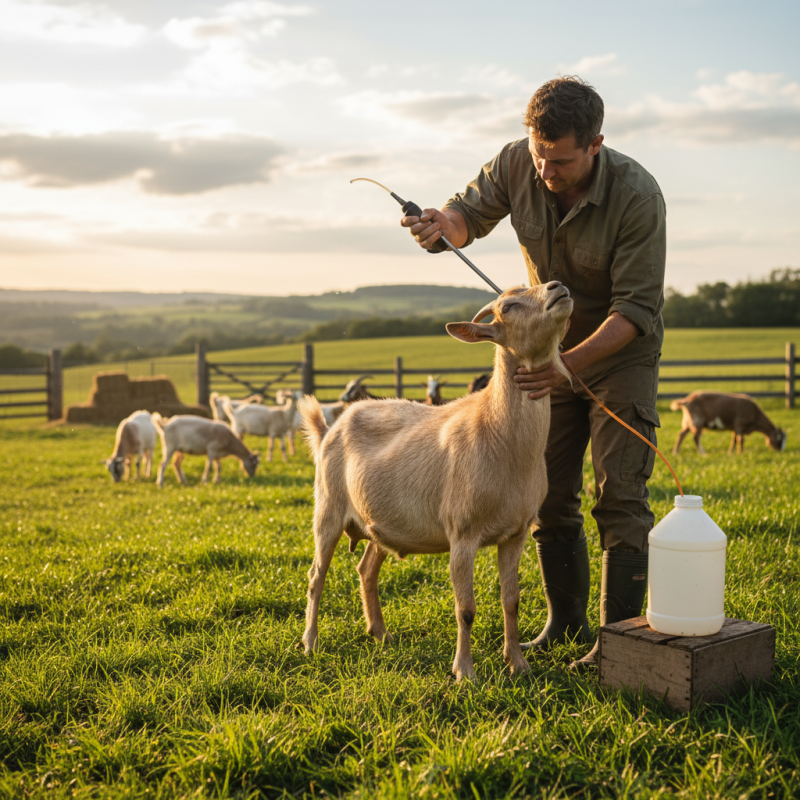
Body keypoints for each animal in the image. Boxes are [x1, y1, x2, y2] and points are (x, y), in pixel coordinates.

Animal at [298, 282, 573, 681]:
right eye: (508, 306)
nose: (557, 287)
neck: (499, 435)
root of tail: (328, 429)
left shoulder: (516, 533)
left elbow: (512, 600)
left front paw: (518, 664)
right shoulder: (462, 533)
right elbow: (466, 608)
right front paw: (465, 672)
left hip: (378, 523)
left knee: (366, 570)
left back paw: (380, 633)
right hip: (328, 509)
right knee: (316, 576)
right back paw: (310, 642)